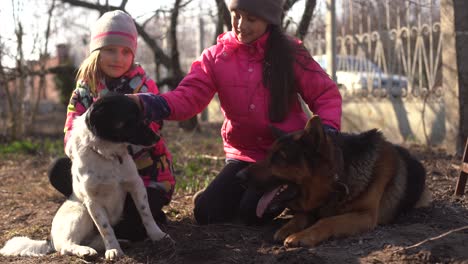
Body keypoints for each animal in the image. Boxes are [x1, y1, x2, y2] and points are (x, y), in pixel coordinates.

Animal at [0, 94, 169, 260]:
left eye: (143, 117)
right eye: (131, 119)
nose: (157, 137)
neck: (108, 155)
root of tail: (50, 240)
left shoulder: (136, 185)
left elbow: (145, 213)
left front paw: (157, 235)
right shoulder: (92, 201)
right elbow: (105, 228)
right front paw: (113, 249)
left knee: (92, 240)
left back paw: (119, 242)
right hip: (81, 212)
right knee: (67, 246)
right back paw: (85, 251)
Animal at [241, 115, 432, 248]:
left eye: (279, 158)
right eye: (268, 155)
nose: (239, 175)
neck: (338, 177)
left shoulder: (365, 215)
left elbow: (328, 221)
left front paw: (302, 236)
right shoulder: (313, 207)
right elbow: (300, 216)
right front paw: (288, 228)